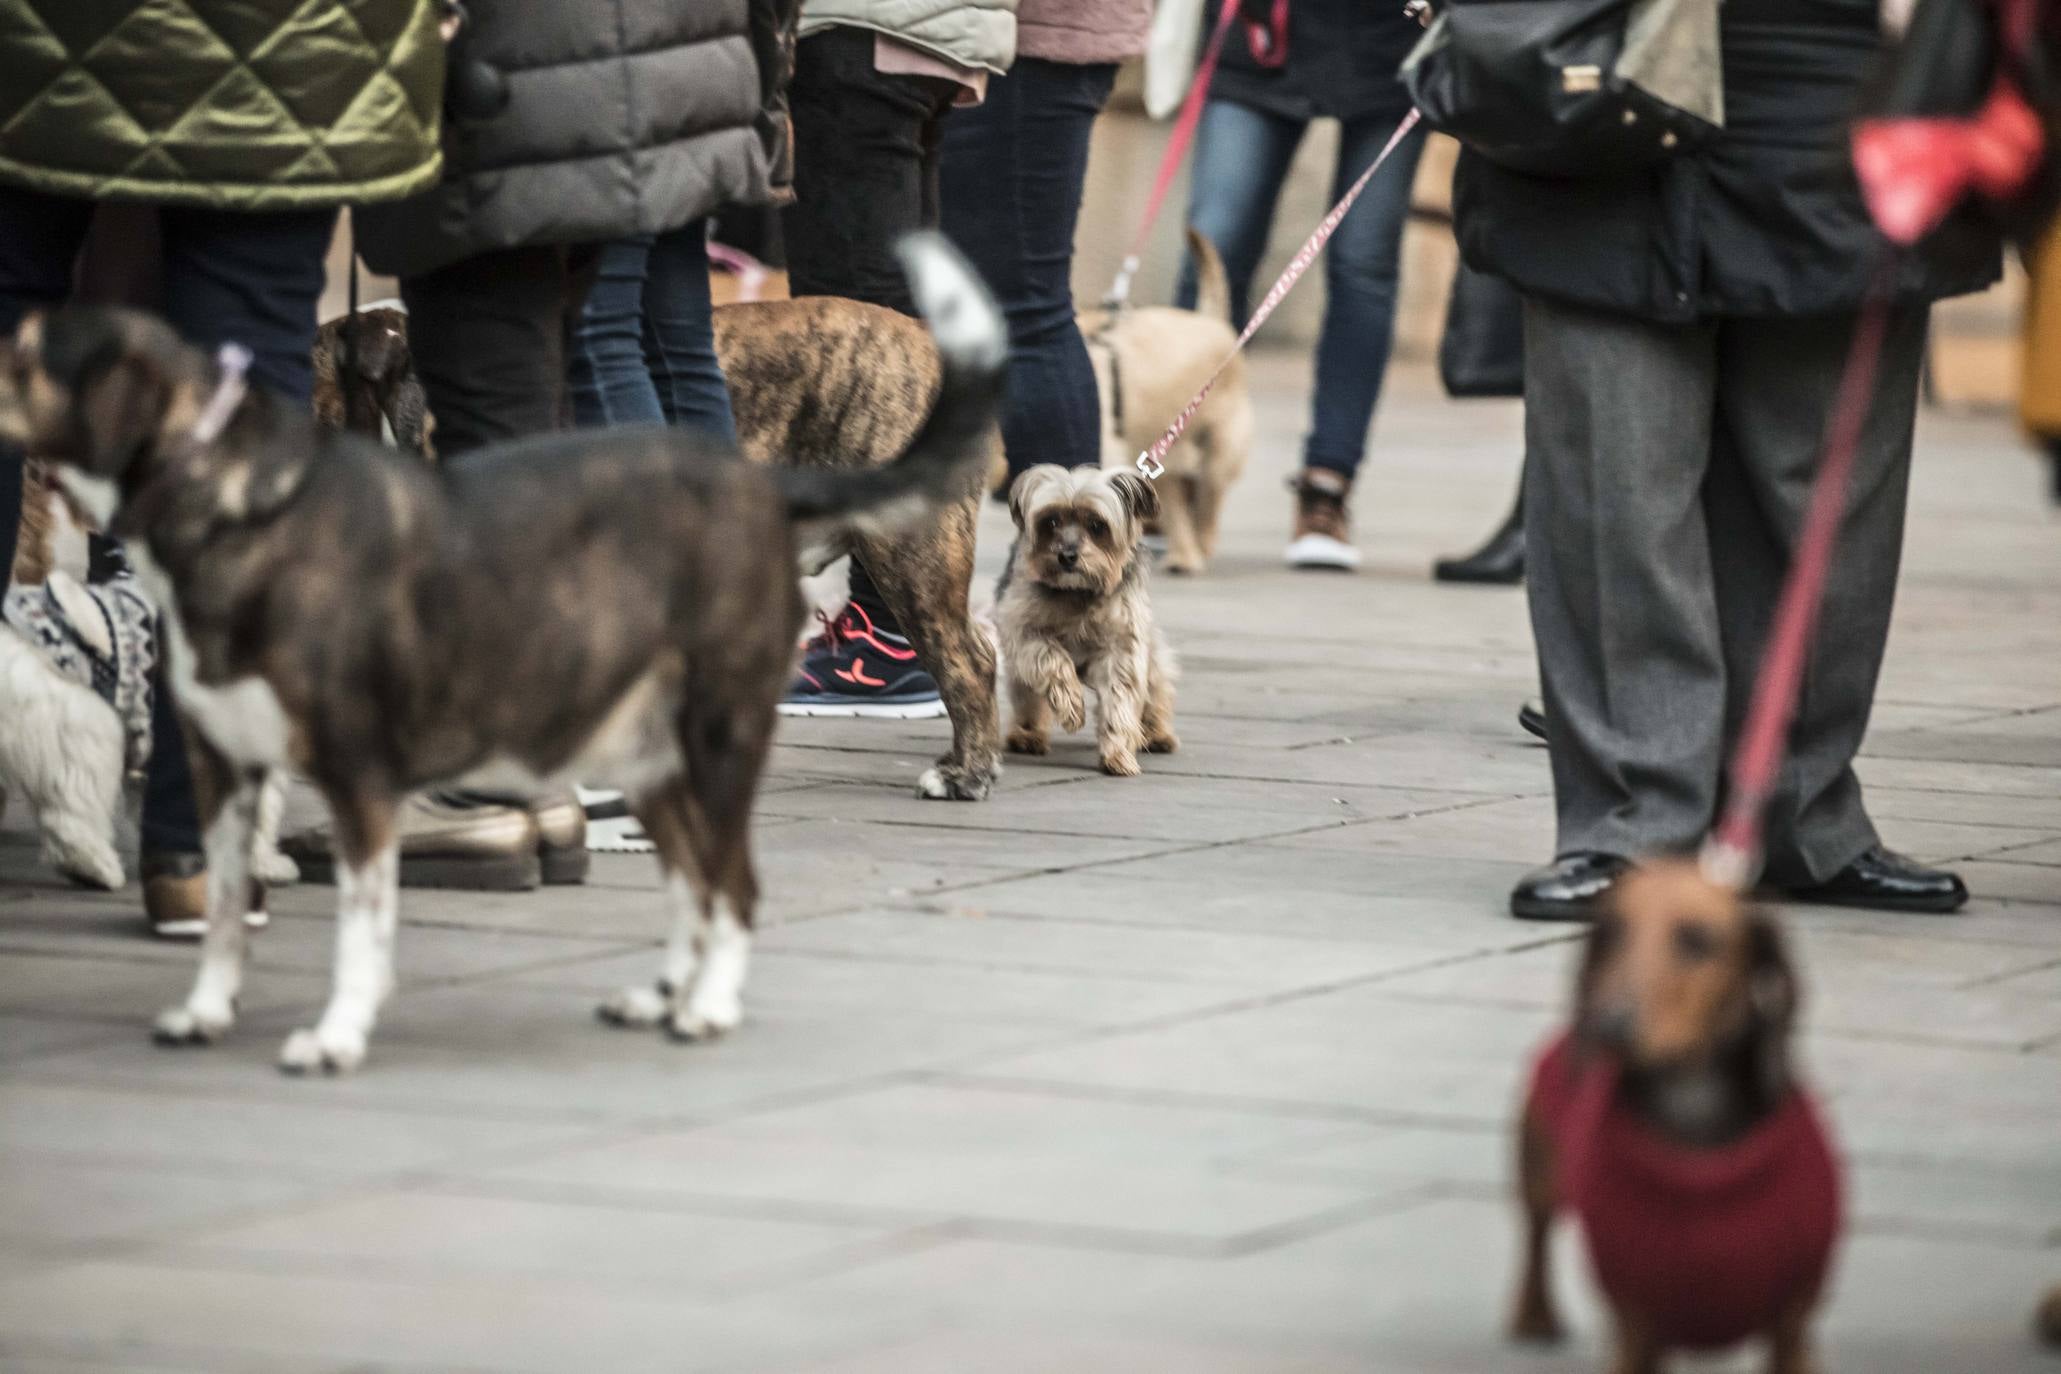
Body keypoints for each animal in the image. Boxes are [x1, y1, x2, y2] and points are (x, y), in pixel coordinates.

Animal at [997, 467, 1178, 778]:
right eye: (1051, 521)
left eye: (1096, 525)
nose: (1066, 556)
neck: (1079, 591)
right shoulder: (1023, 631)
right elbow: (1052, 658)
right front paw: (1071, 706)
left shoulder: (1122, 647)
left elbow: (1119, 698)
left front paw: (1118, 754)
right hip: (1020, 674)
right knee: (1027, 695)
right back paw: (1027, 735)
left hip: (1151, 656)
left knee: (1156, 687)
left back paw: (1156, 734)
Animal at [1516, 861, 1838, 1374]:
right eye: (1611, 932)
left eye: (1697, 939)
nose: (1608, 1026)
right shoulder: (1637, 1327)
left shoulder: (1793, 1322)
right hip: (1538, 1168)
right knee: (1536, 1234)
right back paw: (1535, 1316)